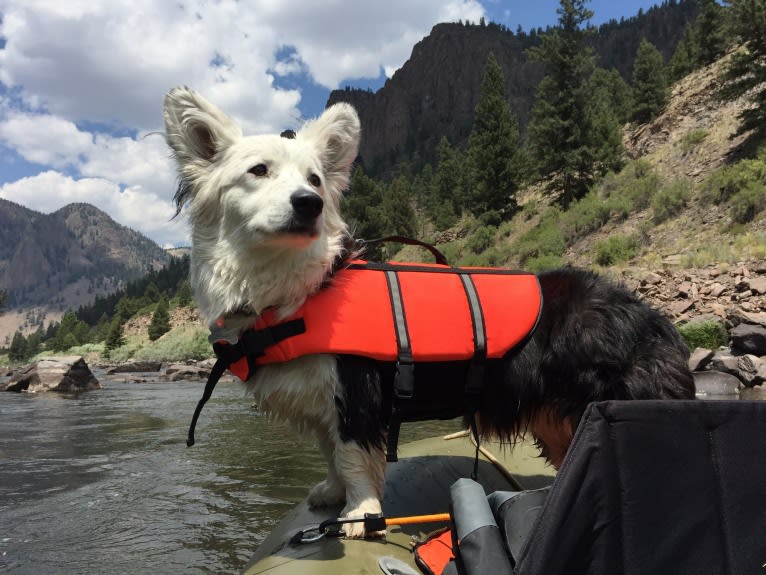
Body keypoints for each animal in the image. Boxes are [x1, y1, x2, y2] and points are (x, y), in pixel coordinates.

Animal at [163, 88, 384, 536]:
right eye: (259, 170)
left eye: (315, 179)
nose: (310, 203)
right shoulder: (318, 401)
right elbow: (329, 449)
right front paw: (332, 492)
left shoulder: (353, 389)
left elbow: (351, 454)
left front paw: (360, 511)